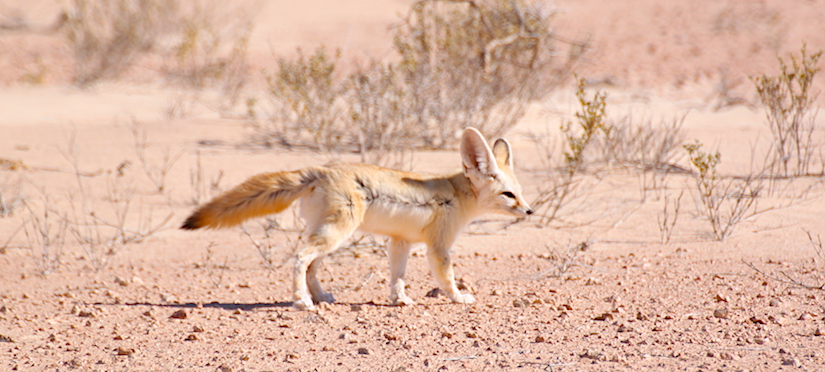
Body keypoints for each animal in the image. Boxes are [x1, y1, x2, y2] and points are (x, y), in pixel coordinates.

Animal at [181, 128, 532, 310]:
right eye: (508, 195)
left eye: (520, 192)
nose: (529, 211)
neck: (457, 194)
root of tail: (319, 170)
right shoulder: (438, 247)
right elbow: (446, 278)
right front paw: (460, 298)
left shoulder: (401, 242)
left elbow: (397, 276)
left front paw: (399, 300)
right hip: (335, 234)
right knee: (300, 258)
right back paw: (301, 301)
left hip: (330, 236)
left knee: (311, 265)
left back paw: (320, 296)